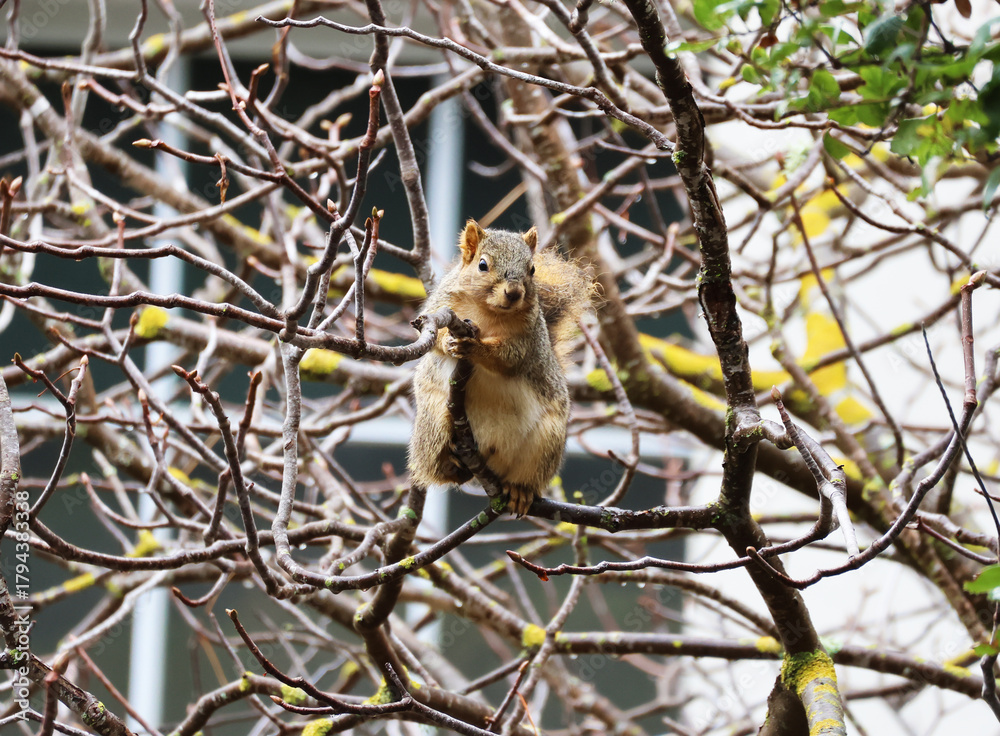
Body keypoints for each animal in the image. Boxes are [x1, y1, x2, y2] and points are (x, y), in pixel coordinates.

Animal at [408, 220, 592, 516]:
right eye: (482, 265)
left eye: (532, 269)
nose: (514, 292)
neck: (488, 311)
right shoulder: (440, 305)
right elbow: (431, 337)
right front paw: (448, 342)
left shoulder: (526, 338)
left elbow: (508, 358)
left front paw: (475, 347)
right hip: (433, 422)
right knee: (439, 467)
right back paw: (451, 465)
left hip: (547, 441)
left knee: (525, 476)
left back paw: (520, 491)